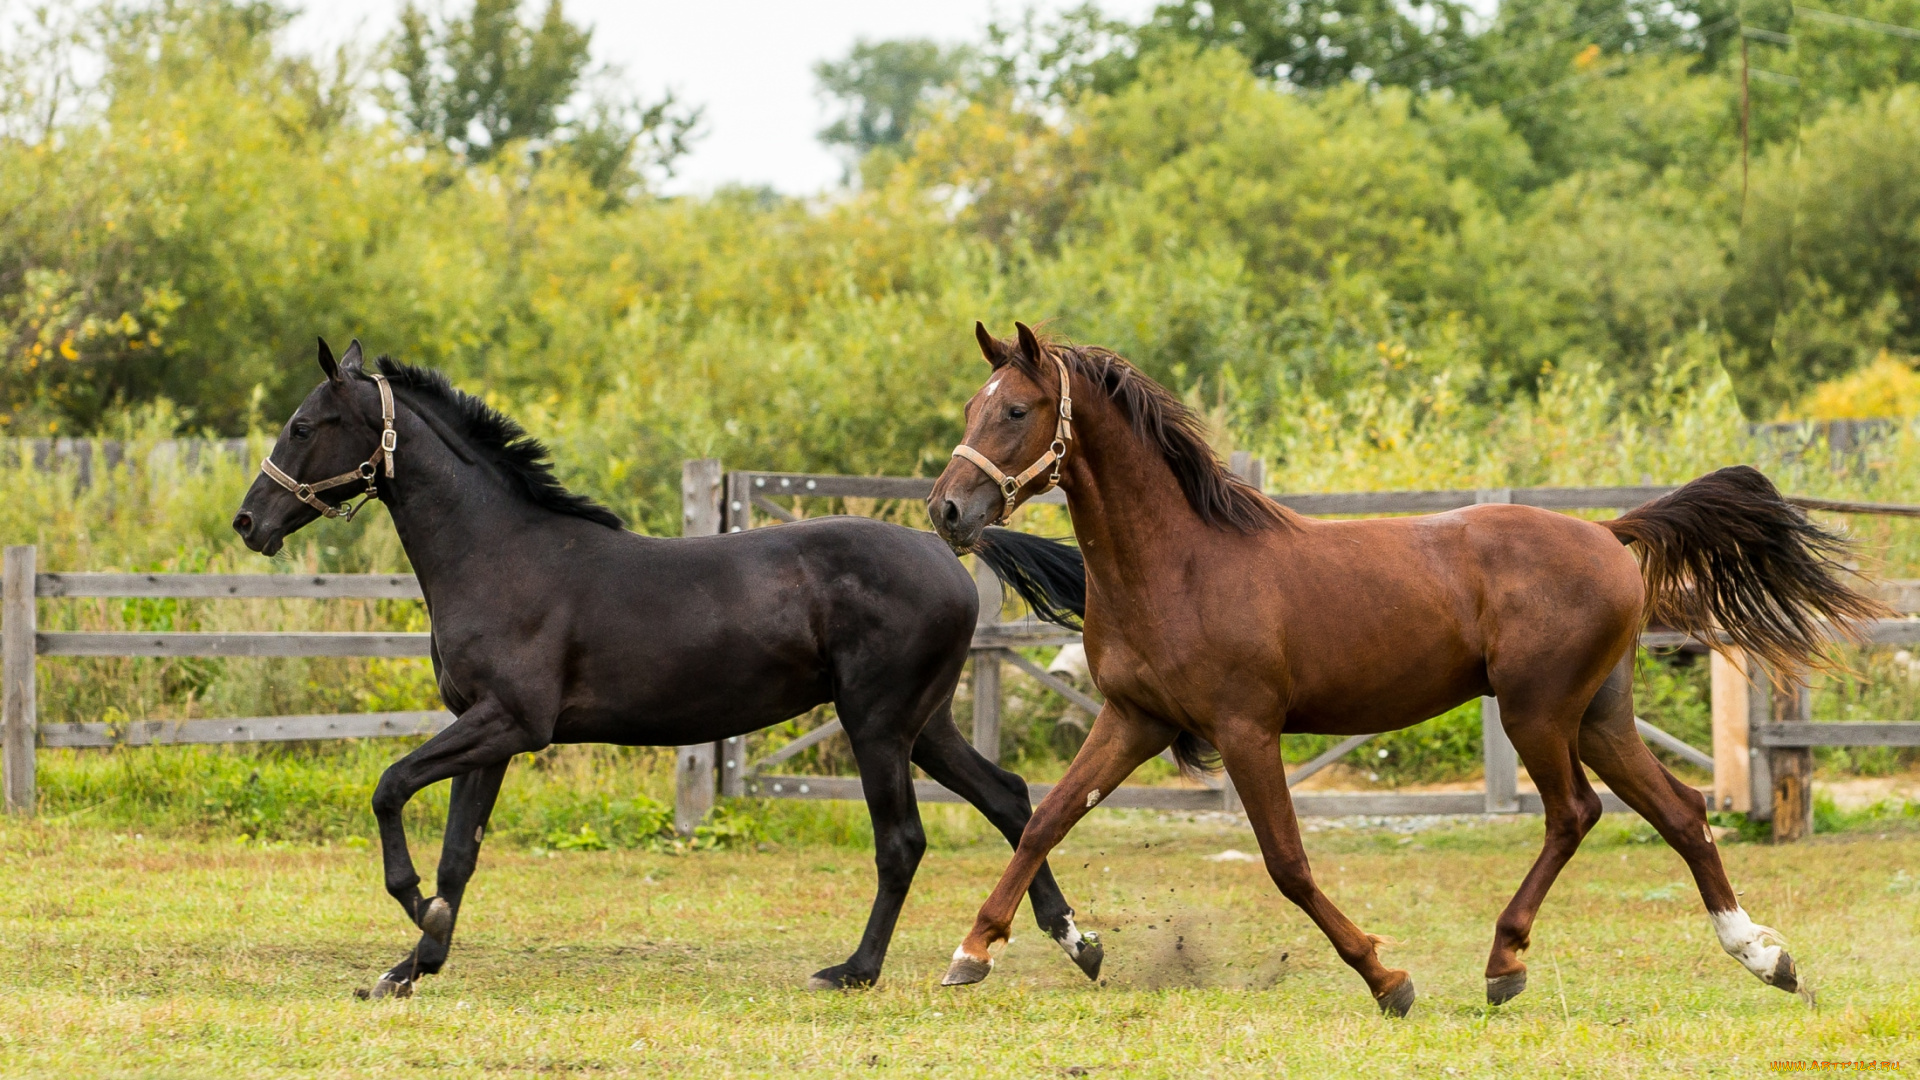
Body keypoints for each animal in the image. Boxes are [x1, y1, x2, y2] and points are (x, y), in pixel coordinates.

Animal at [238, 340, 1105, 999]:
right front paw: (413, 962)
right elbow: (460, 854)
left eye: (303, 425)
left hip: (878, 722)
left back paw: (854, 971)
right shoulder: (488, 733)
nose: (250, 522)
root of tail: (948, 549)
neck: (499, 556)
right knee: (1011, 798)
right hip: (922, 723)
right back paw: (1071, 943)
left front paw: (416, 916)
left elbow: (390, 789)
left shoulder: (510, 722)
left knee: (903, 841)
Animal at [921, 319, 1881, 1006]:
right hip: (1599, 715)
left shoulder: (1245, 728)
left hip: (1538, 712)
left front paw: (1388, 979)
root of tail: (1609, 534)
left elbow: (1288, 864)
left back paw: (1505, 962)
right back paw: (1763, 956)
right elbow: (1045, 819)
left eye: (1014, 411)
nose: (946, 511)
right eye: (970, 407)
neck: (1179, 563)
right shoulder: (1135, 719)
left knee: (1574, 814)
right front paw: (989, 950)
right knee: (1680, 811)